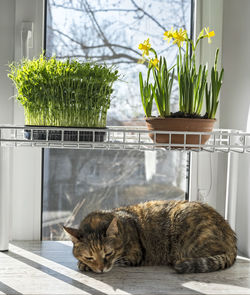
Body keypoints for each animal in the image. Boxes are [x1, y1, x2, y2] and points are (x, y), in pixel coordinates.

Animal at [63, 201, 237, 276]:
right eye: (89, 256)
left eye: (108, 253)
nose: (101, 269)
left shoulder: (135, 255)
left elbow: (119, 261)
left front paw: (84, 266)